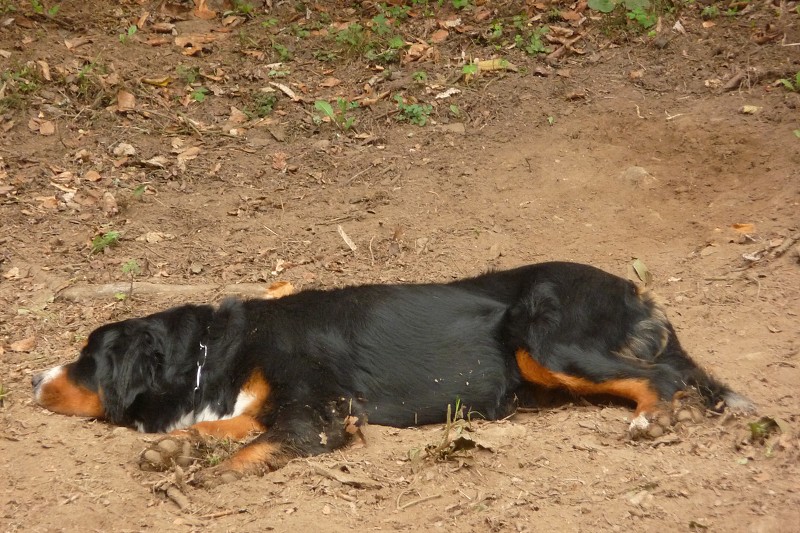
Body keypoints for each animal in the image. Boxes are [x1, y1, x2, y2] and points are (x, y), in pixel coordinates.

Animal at [32, 262, 756, 482]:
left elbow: (253, 446)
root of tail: (633, 291)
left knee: (662, 380)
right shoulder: (268, 401)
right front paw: (174, 451)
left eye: (87, 359)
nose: (34, 380)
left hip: (542, 335)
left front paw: (196, 475)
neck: (218, 350)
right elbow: (222, 429)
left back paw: (651, 422)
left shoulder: (319, 410)